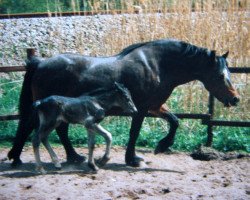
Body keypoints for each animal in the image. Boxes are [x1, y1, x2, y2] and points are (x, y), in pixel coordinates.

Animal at [7, 38, 239, 166]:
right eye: (220, 75)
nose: (235, 98)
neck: (157, 65)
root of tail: (40, 62)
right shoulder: (141, 108)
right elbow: (134, 132)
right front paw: (133, 159)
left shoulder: (155, 106)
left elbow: (174, 121)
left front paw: (161, 146)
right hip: (49, 106)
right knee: (31, 126)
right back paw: (16, 157)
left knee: (59, 130)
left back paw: (73, 157)